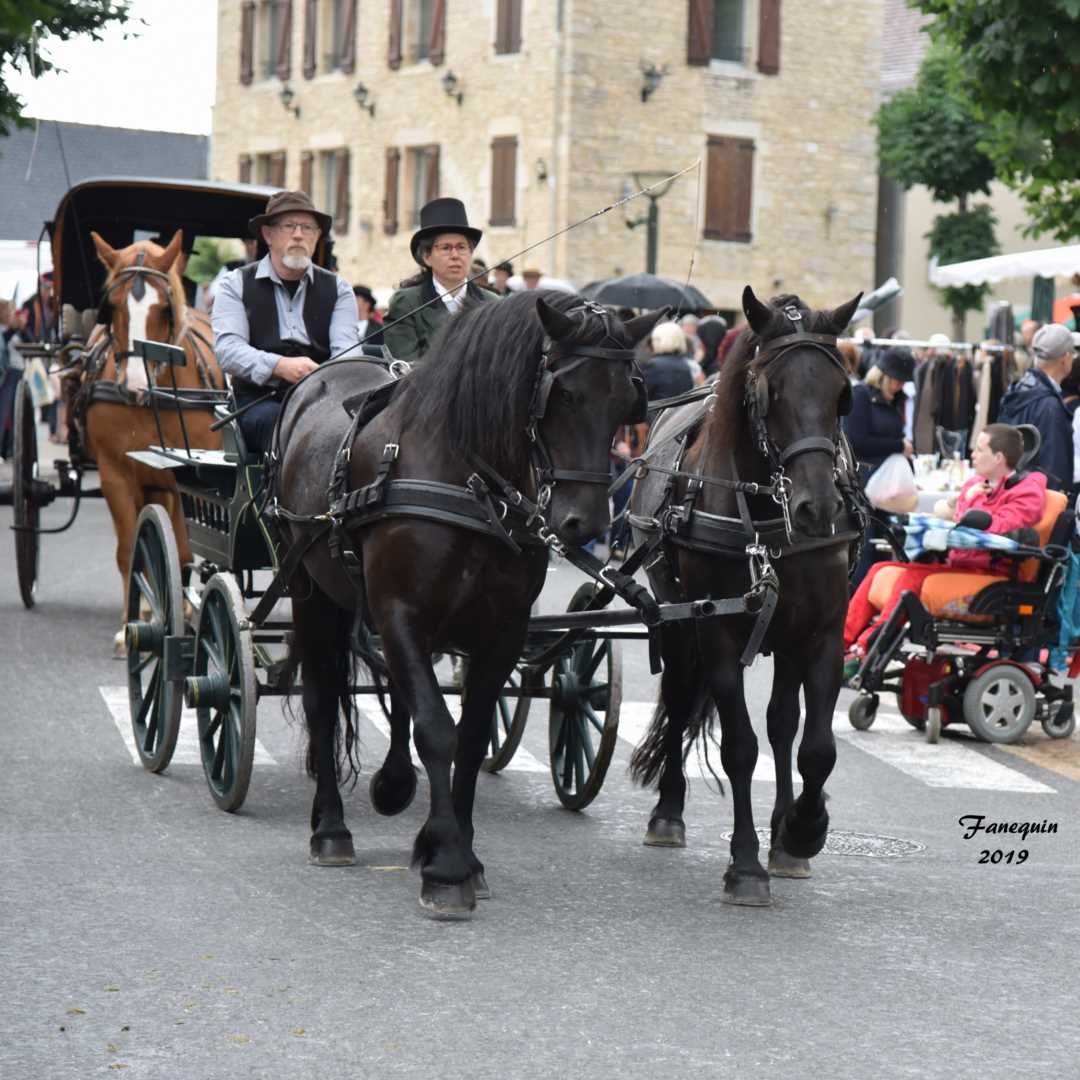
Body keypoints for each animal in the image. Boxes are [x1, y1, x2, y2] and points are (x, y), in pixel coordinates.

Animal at [80, 232, 225, 652]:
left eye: (164, 309)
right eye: (112, 306)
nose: (135, 385)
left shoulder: (185, 483)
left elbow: (184, 552)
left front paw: (185, 617)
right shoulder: (115, 475)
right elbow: (131, 550)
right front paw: (130, 626)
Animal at [276, 291, 665, 915]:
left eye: (628, 401)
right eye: (564, 394)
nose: (583, 525)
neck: (469, 485)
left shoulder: (500, 629)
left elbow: (472, 730)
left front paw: (454, 850)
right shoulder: (401, 612)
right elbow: (438, 728)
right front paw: (448, 867)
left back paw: (393, 787)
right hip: (311, 592)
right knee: (322, 696)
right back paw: (331, 827)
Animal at [626, 285, 859, 902]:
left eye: (841, 395)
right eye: (768, 394)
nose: (818, 508)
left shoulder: (821, 632)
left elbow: (815, 746)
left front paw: (802, 830)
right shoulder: (719, 631)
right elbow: (740, 747)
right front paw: (746, 863)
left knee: (782, 724)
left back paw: (785, 833)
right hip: (679, 622)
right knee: (681, 698)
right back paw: (668, 813)